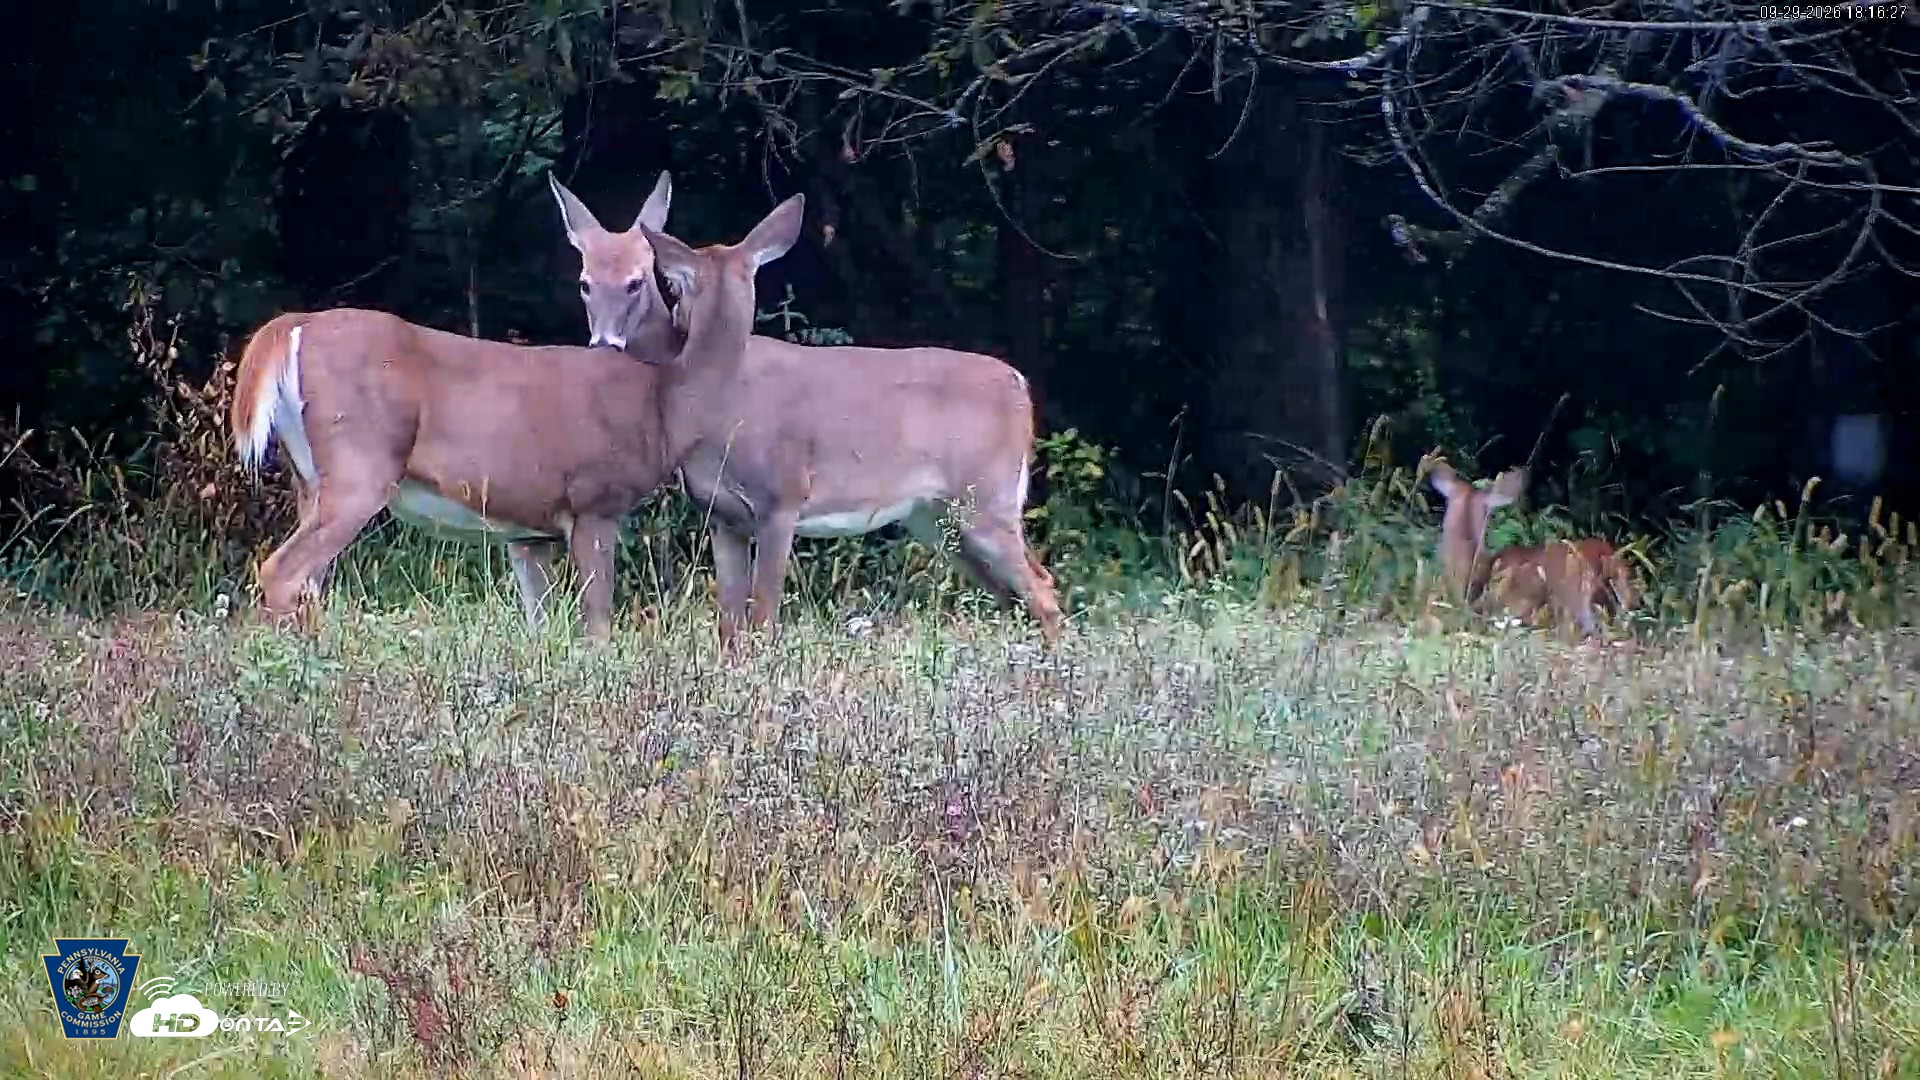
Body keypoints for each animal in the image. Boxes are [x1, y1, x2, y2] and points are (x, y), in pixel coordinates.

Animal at [225, 179, 792, 640]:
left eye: (639, 281)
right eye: (585, 283)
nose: (604, 342)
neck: (662, 396)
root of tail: (293, 326)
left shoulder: (527, 530)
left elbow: (539, 624)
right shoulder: (594, 501)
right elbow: (598, 627)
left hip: (308, 479)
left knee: (308, 582)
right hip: (358, 467)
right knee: (282, 572)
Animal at [549, 174, 1064, 650]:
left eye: (639, 282)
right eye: (585, 283)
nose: (603, 343)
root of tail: (1020, 384)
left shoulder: (783, 498)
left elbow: (763, 616)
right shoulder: (721, 513)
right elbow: (729, 624)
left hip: (986, 498)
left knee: (1042, 589)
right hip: (936, 515)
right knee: (1013, 594)